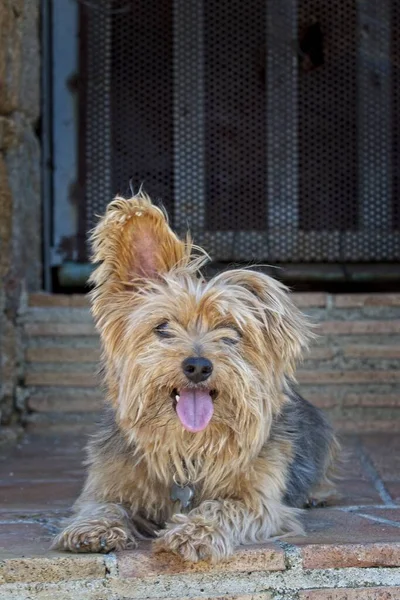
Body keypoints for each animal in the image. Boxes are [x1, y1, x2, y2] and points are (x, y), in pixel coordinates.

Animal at [53, 193, 338, 564]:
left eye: (231, 332)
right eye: (163, 328)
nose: (198, 366)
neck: (188, 447)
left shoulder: (260, 501)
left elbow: (223, 507)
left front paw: (194, 531)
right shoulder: (107, 482)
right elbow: (101, 505)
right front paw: (93, 528)